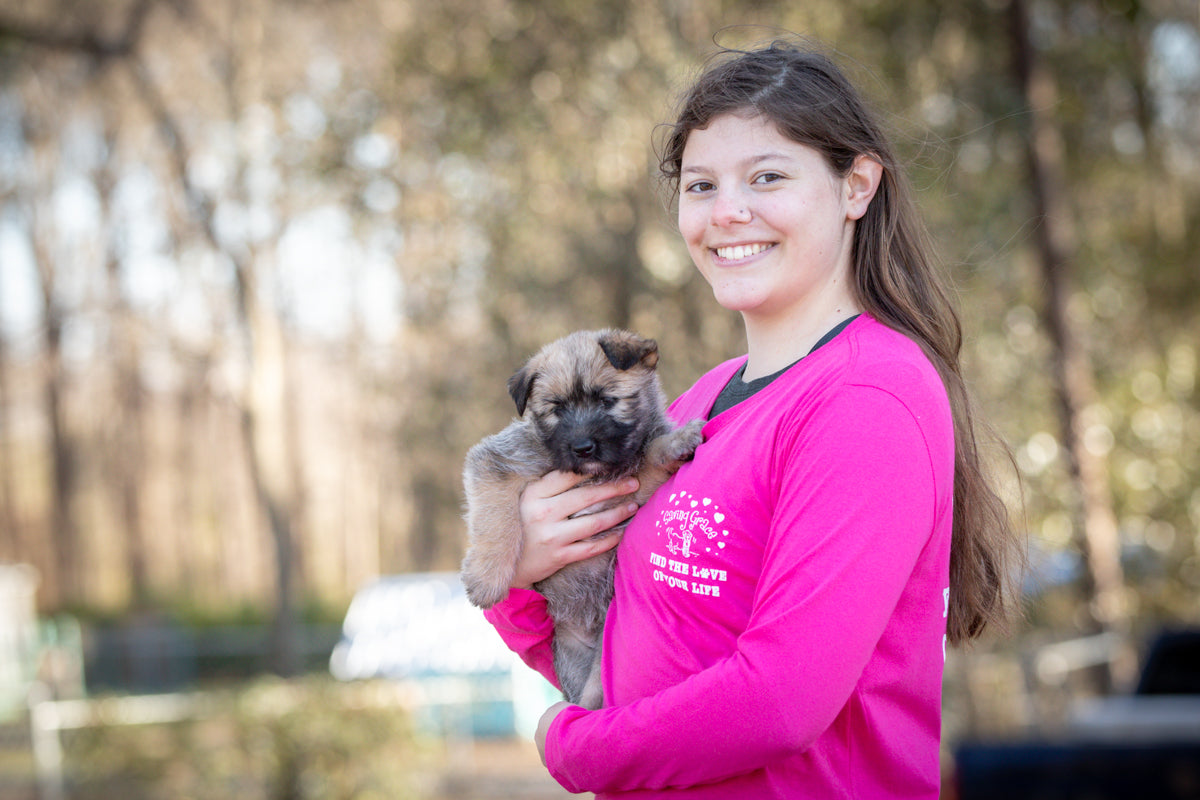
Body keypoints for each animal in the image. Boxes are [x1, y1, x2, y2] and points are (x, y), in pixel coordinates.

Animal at [458, 328, 700, 710]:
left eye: (606, 401)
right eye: (557, 408)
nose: (583, 448)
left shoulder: (633, 484)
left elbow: (649, 453)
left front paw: (674, 442)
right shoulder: (497, 463)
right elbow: (496, 519)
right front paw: (487, 578)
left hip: (603, 656)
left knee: (591, 697)